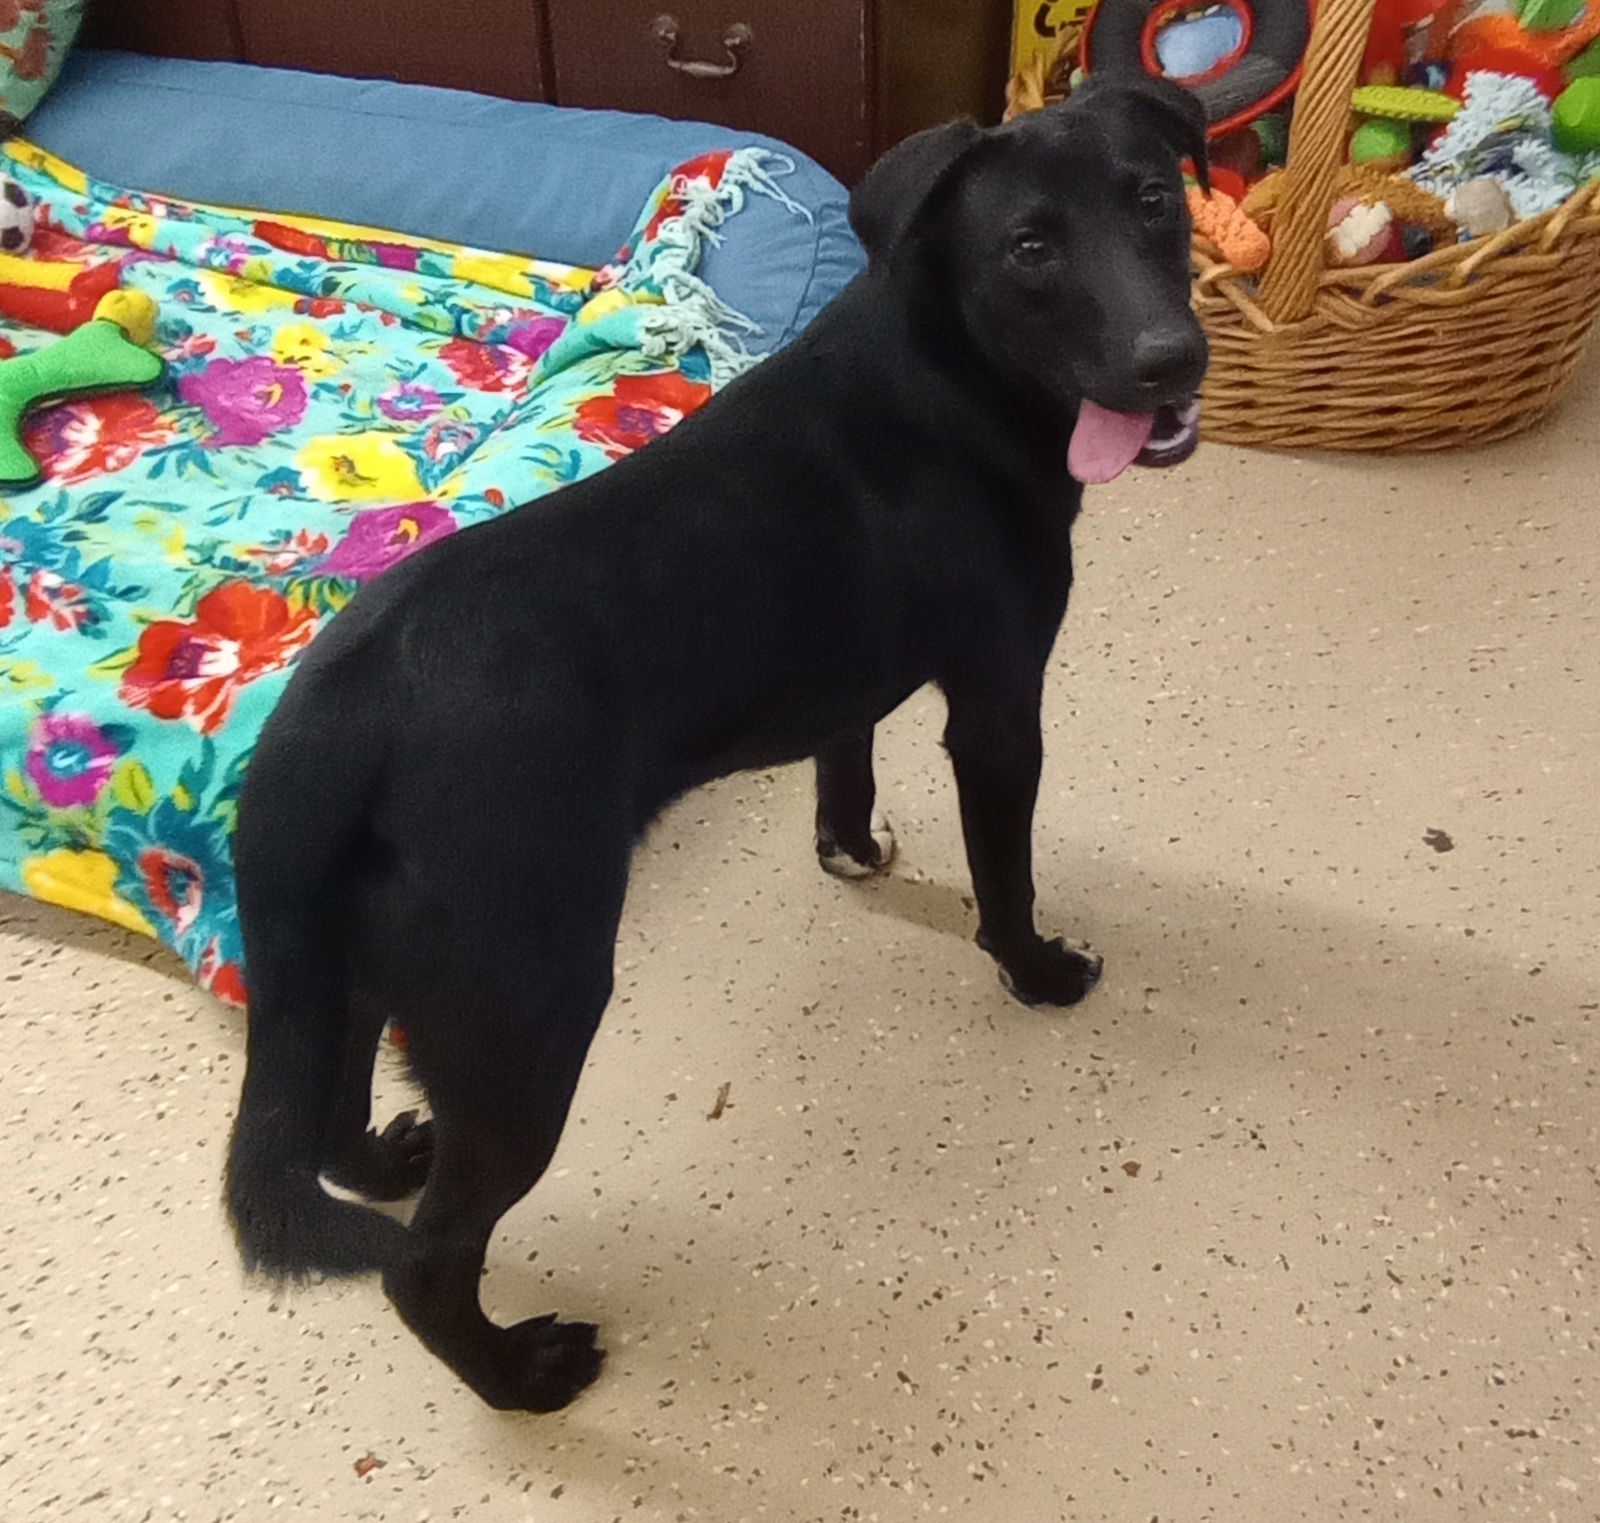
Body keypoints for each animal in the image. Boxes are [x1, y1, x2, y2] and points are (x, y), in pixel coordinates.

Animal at [228, 77, 1209, 1407]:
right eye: (1029, 249)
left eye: (1154, 199)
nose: (1173, 359)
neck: (945, 367)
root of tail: (333, 715)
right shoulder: (1000, 706)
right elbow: (1004, 877)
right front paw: (1036, 968)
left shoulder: (850, 674)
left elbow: (843, 764)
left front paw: (850, 850)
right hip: (528, 1006)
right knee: (424, 1265)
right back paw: (521, 1372)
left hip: (369, 966)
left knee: (333, 1119)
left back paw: (385, 1161)